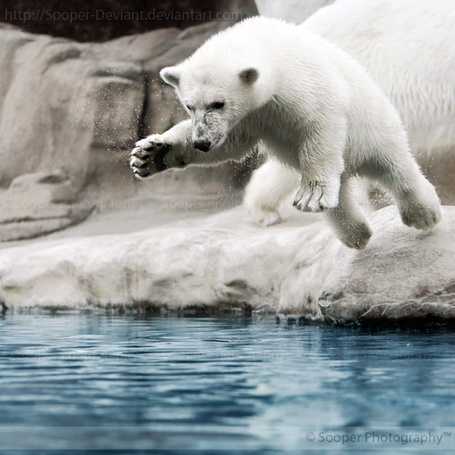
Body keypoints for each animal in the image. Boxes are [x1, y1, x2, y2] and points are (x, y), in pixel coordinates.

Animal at [131, 17, 442, 251]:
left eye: (218, 103)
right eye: (189, 105)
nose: (202, 142)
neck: (268, 46)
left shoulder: (301, 81)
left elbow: (320, 122)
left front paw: (311, 195)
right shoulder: (251, 116)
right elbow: (232, 143)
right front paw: (150, 154)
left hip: (375, 127)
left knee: (394, 167)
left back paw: (424, 214)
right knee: (340, 193)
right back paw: (357, 233)